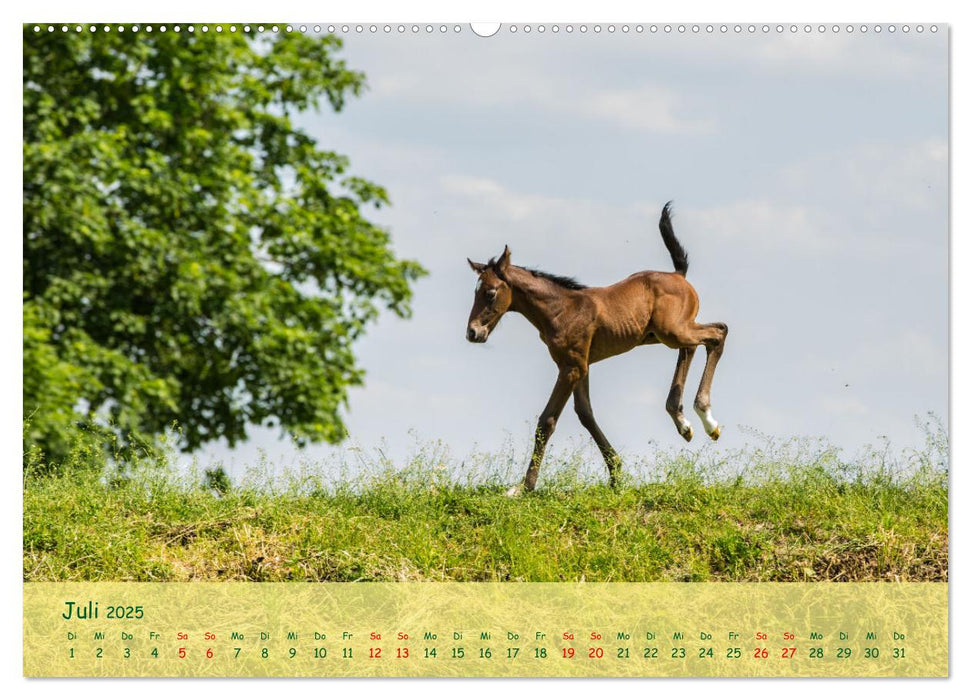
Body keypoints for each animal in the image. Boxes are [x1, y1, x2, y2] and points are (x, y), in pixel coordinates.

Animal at [466, 204, 728, 498]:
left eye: (490, 293)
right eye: (475, 292)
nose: (473, 332)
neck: (560, 309)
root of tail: (679, 274)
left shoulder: (571, 368)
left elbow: (547, 421)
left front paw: (523, 487)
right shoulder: (580, 366)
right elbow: (585, 414)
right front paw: (616, 475)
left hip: (672, 331)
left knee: (717, 333)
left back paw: (707, 419)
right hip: (666, 333)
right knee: (693, 346)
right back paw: (683, 422)